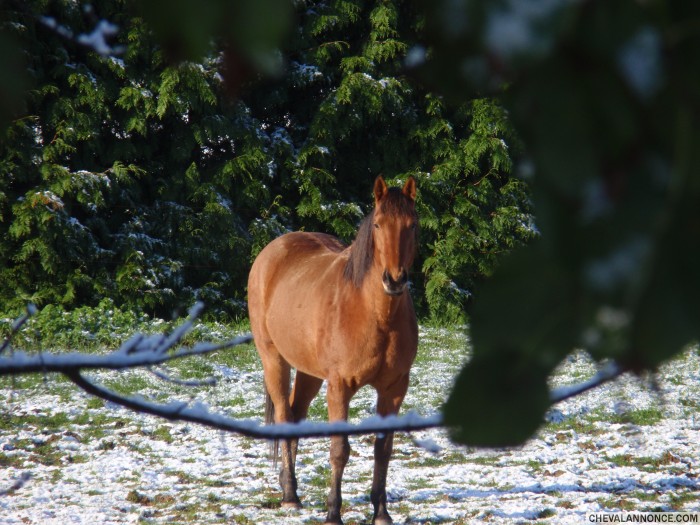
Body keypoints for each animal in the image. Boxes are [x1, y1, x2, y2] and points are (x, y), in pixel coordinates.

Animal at [249, 177, 418, 524]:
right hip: (274, 360)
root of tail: (273, 250)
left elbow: (383, 450)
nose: (394, 280)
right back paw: (290, 496)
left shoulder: (394, 389)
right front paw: (333, 512)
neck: (375, 313)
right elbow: (340, 450)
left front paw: (381, 512)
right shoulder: (339, 387)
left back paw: (289, 487)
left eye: (412, 225)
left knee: (296, 415)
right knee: (284, 414)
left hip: (309, 372)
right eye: (378, 224)